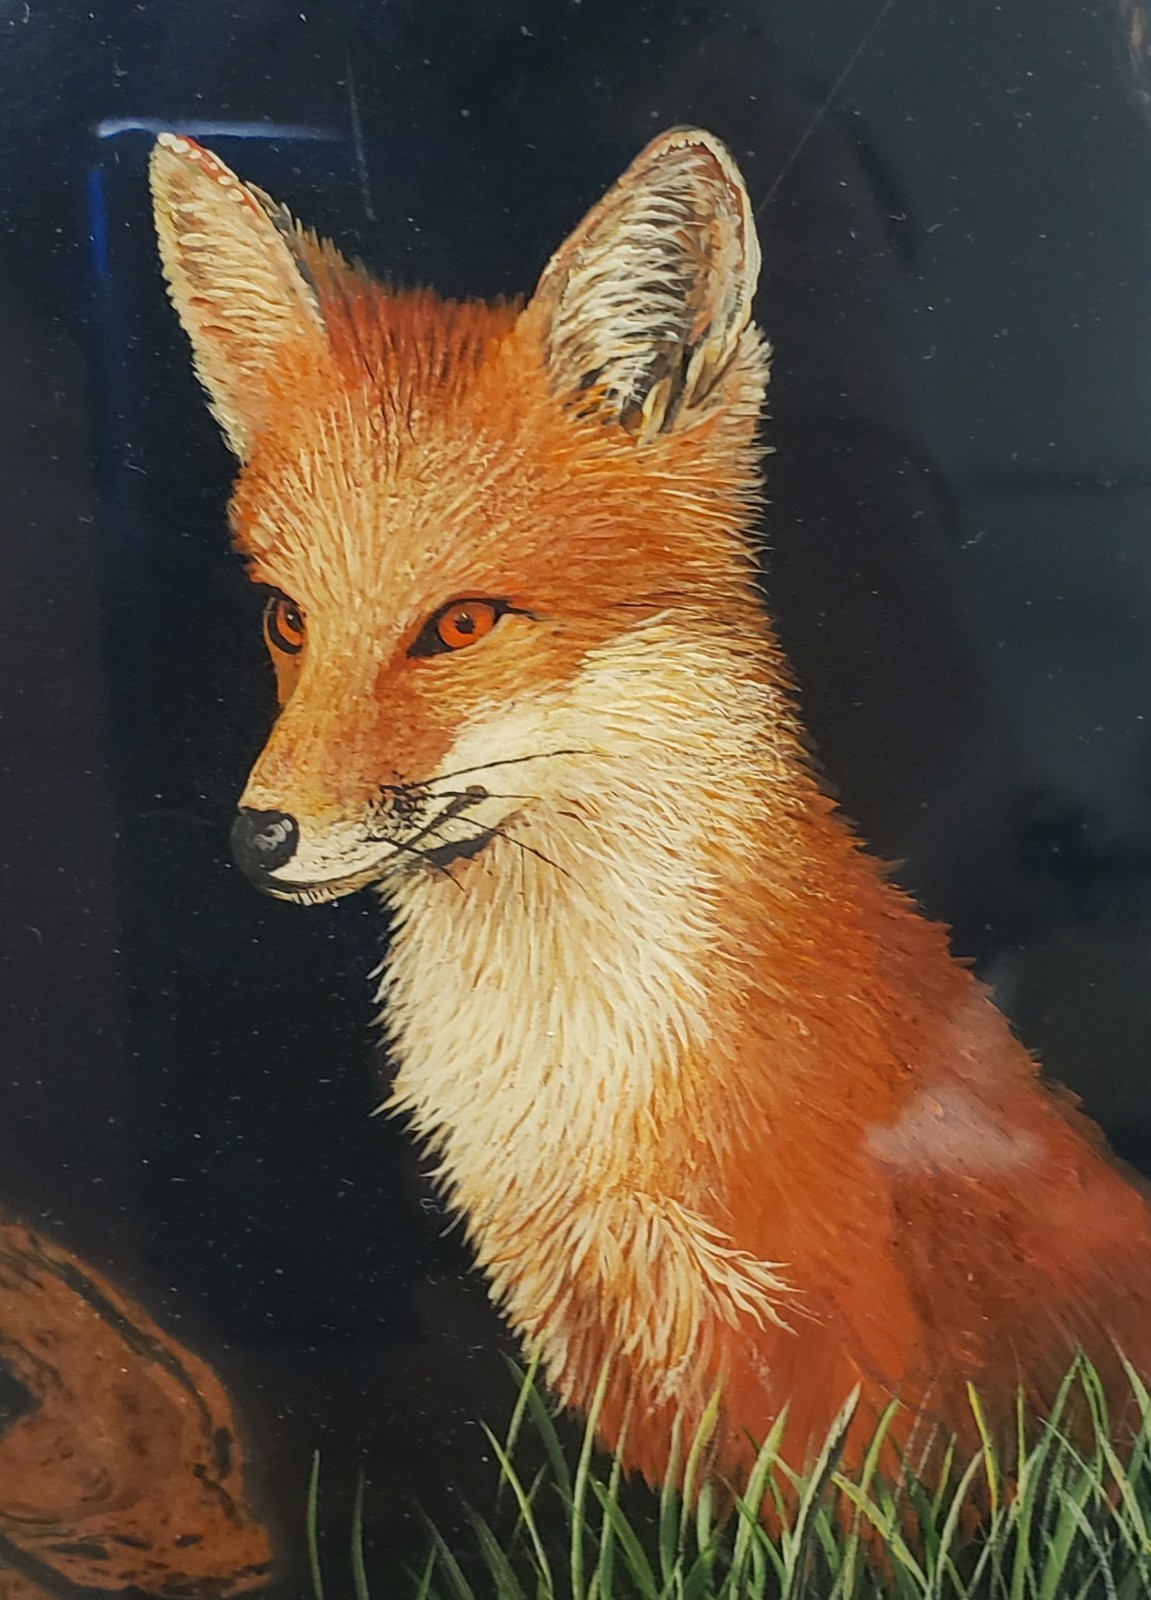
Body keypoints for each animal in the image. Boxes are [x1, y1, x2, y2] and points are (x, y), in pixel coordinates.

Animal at [149, 126, 1151, 1501]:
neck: (580, 1088)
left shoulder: (831, 1363)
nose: (259, 839)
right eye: (286, 619)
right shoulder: (592, 1328)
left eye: (460, 624)